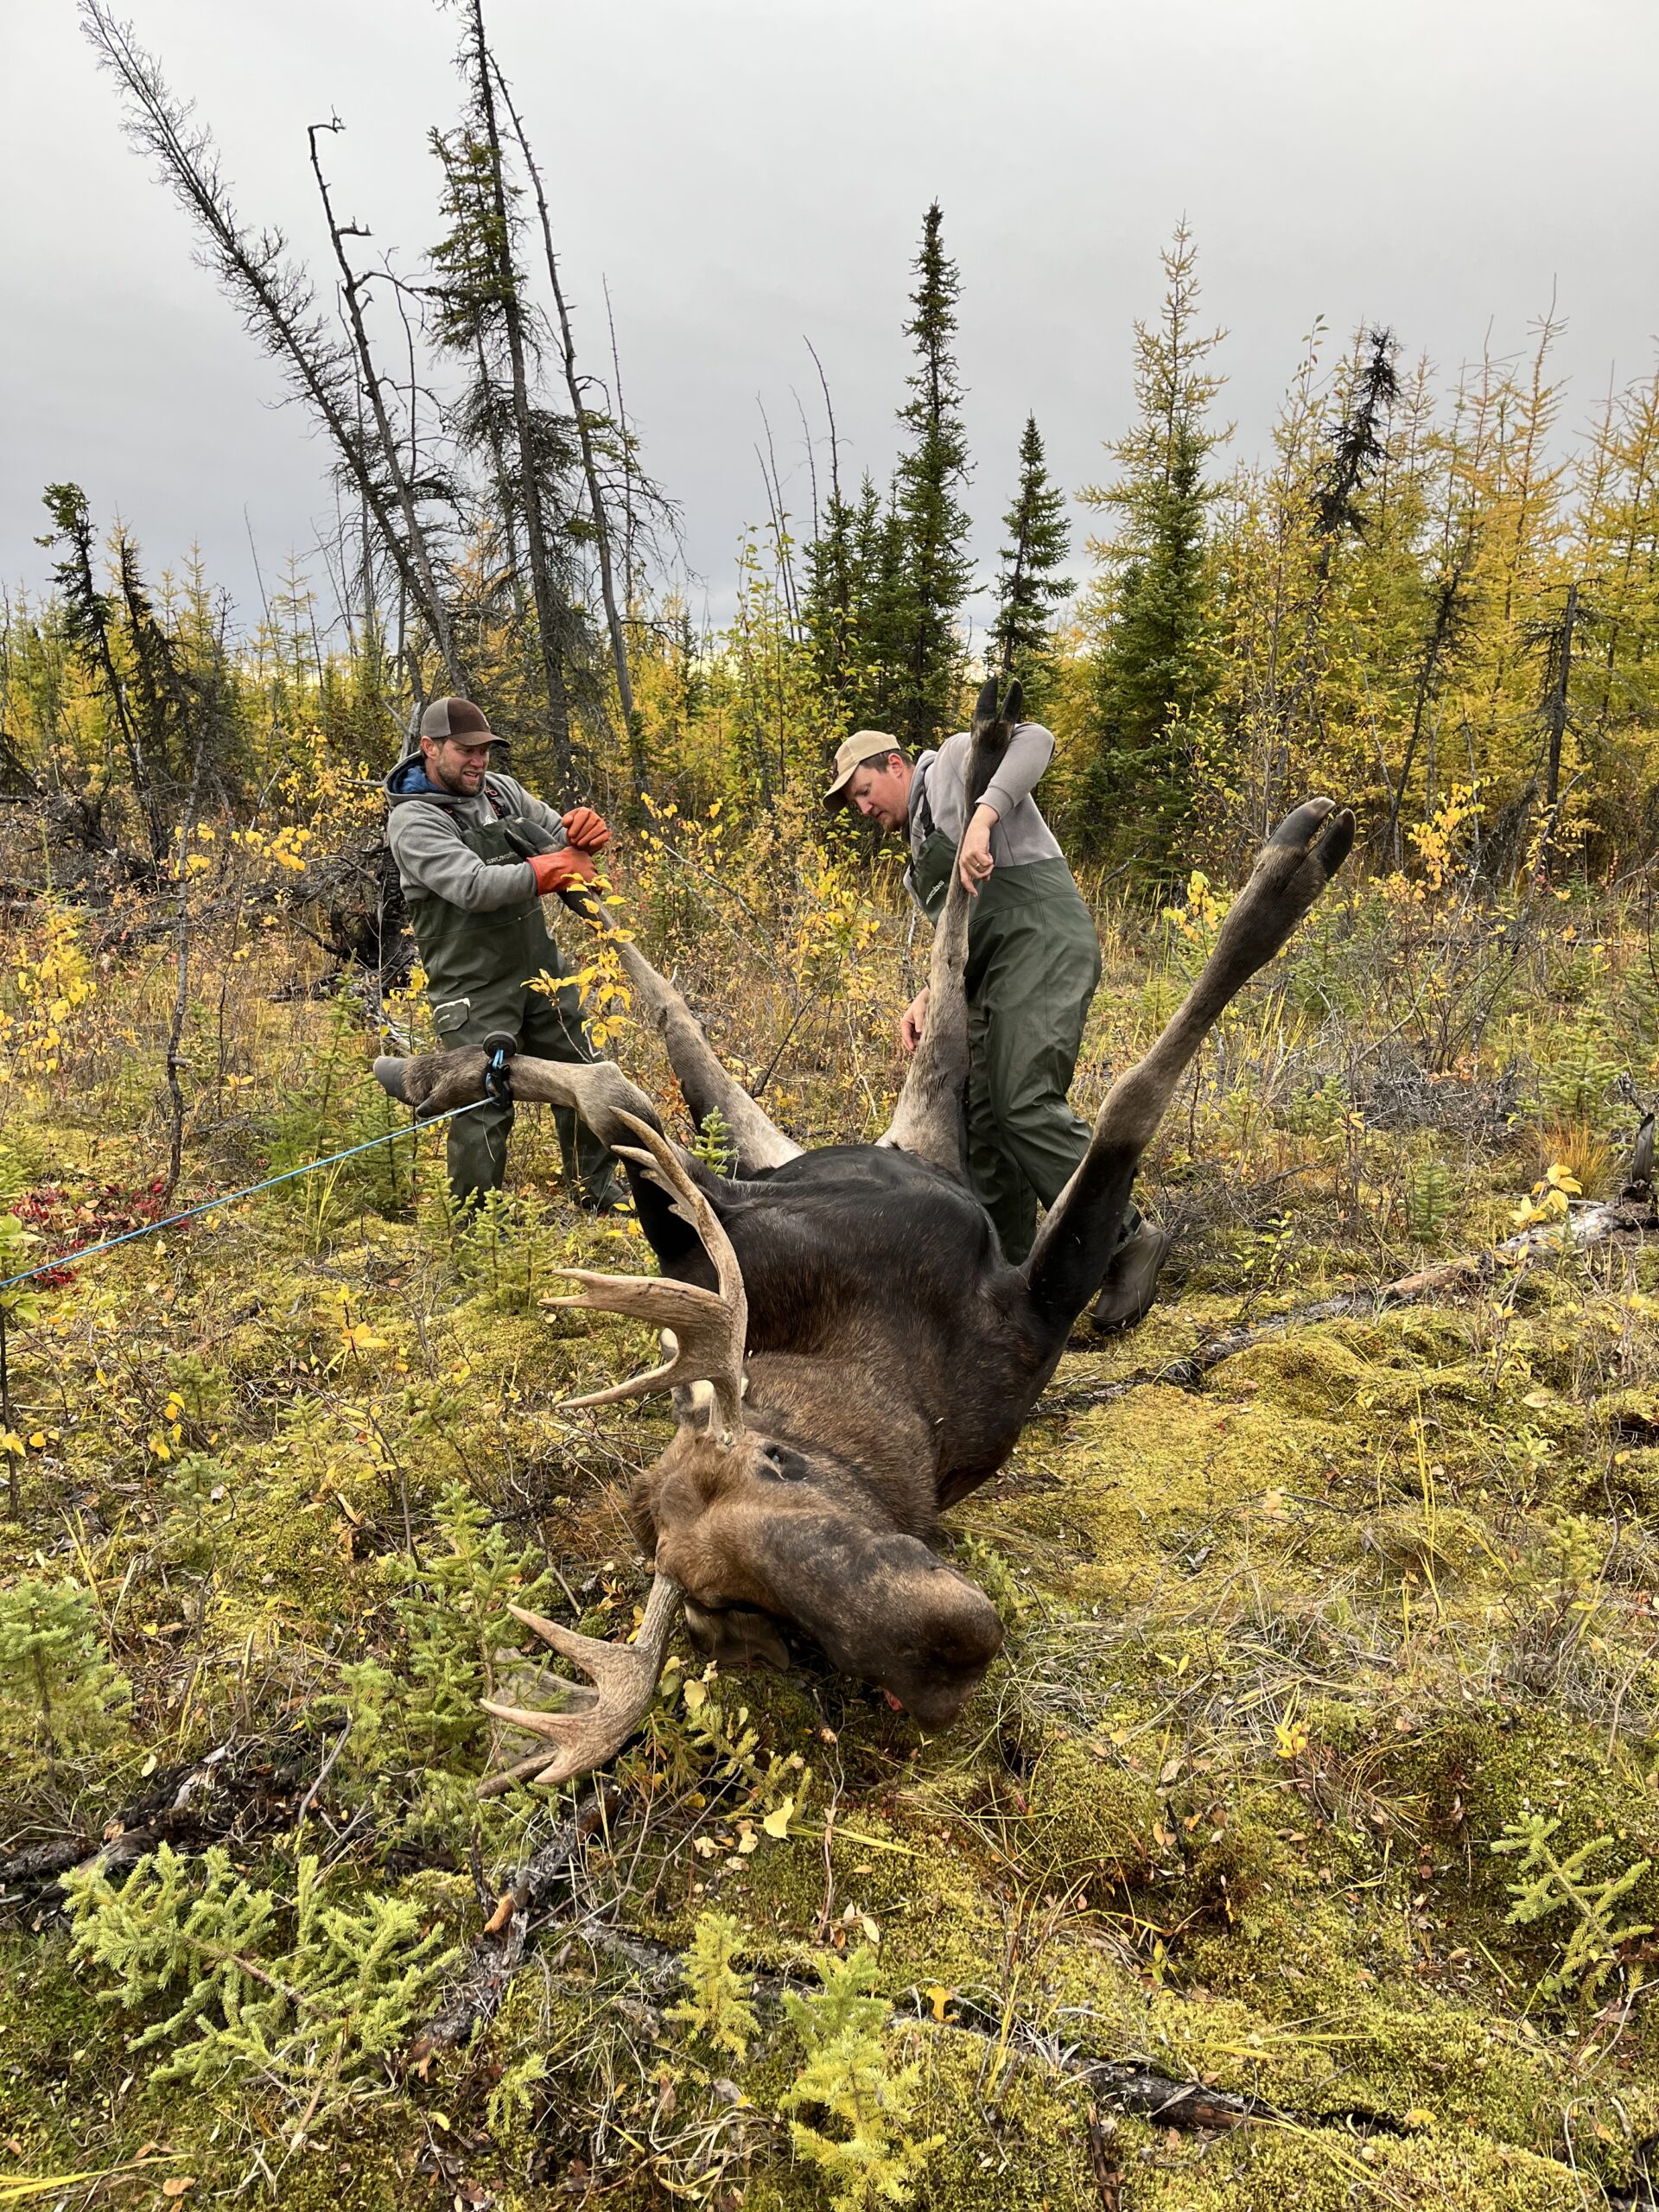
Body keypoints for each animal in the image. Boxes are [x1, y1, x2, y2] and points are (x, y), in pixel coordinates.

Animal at [373, 685, 1353, 1796]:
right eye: (748, 1617)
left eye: (777, 1463)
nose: (948, 1644)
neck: (887, 1380)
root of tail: (869, 1144)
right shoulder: (1023, 1312)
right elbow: (1128, 1106)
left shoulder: (732, 1233)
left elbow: (628, 1099)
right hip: (872, 1126)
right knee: (725, 1014)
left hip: (861, 1127)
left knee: (863, 944)